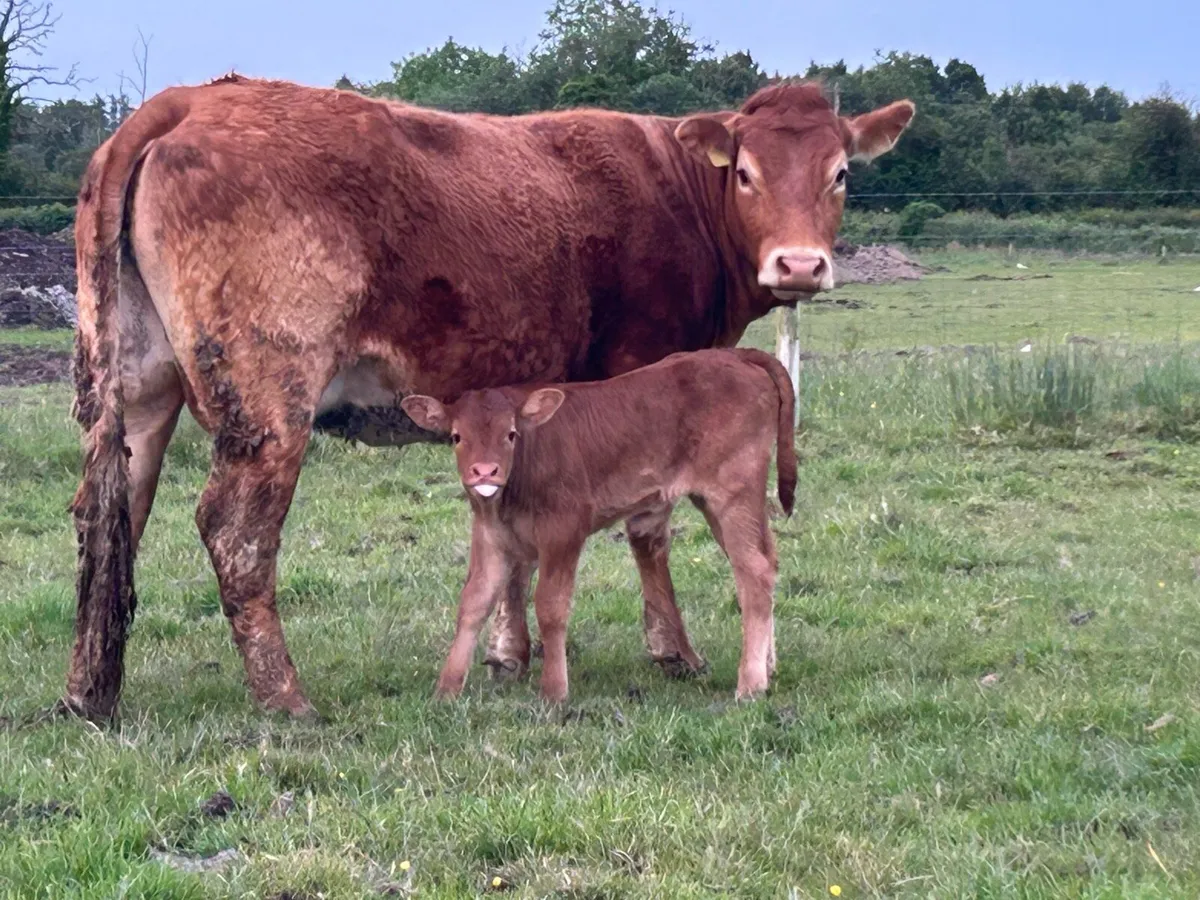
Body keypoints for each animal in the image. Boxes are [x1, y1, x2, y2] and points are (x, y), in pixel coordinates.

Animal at [400, 348, 797, 702]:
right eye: (456, 436)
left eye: (510, 434)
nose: (484, 472)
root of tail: (732, 353)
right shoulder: (490, 536)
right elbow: (473, 602)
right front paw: (446, 691)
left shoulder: (563, 530)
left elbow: (551, 605)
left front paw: (554, 693)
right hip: (723, 503)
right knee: (766, 560)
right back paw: (768, 667)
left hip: (733, 491)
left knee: (754, 572)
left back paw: (750, 685)